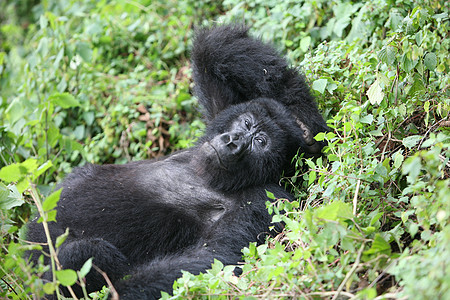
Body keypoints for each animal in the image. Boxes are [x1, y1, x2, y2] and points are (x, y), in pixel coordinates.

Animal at [26, 24, 328, 300]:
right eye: (246, 123)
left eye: (260, 142)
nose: (233, 141)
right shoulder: (221, 114)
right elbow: (215, 50)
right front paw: (303, 120)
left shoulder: (265, 199)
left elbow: (210, 260)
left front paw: (118, 293)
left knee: (85, 254)